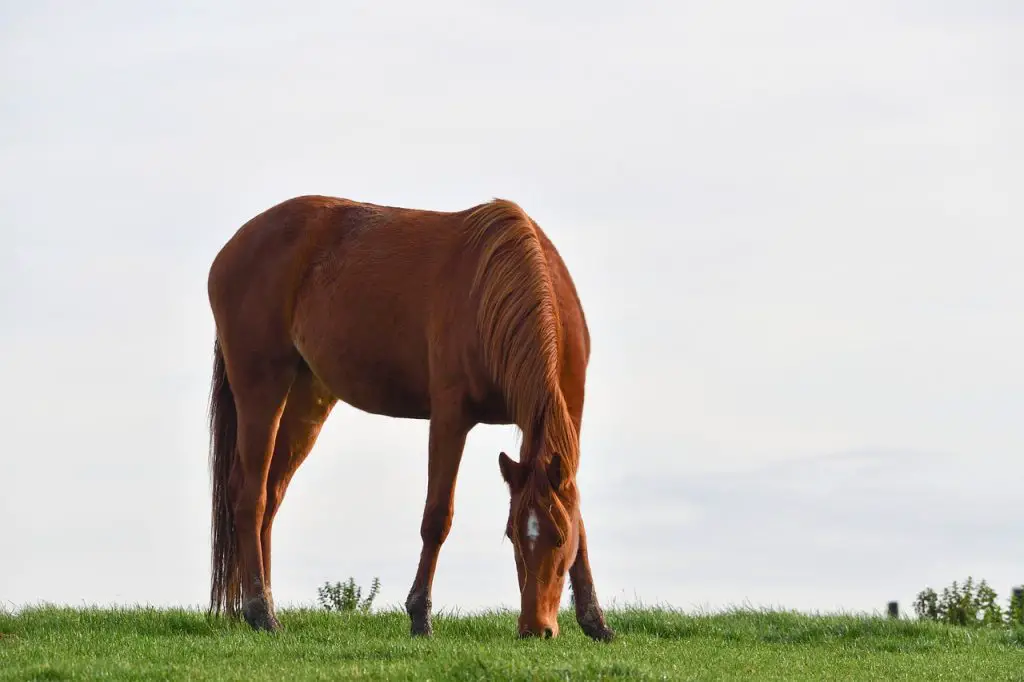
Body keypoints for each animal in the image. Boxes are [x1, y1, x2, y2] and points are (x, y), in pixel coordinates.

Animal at [203, 192, 610, 638]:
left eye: (558, 539)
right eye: (513, 536)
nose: (535, 628)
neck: (499, 287)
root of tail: (231, 249)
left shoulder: (564, 420)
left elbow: (580, 519)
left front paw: (595, 620)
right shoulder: (450, 418)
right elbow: (437, 517)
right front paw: (420, 615)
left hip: (305, 400)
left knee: (272, 495)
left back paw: (264, 604)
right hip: (261, 389)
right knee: (251, 496)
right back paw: (260, 610)